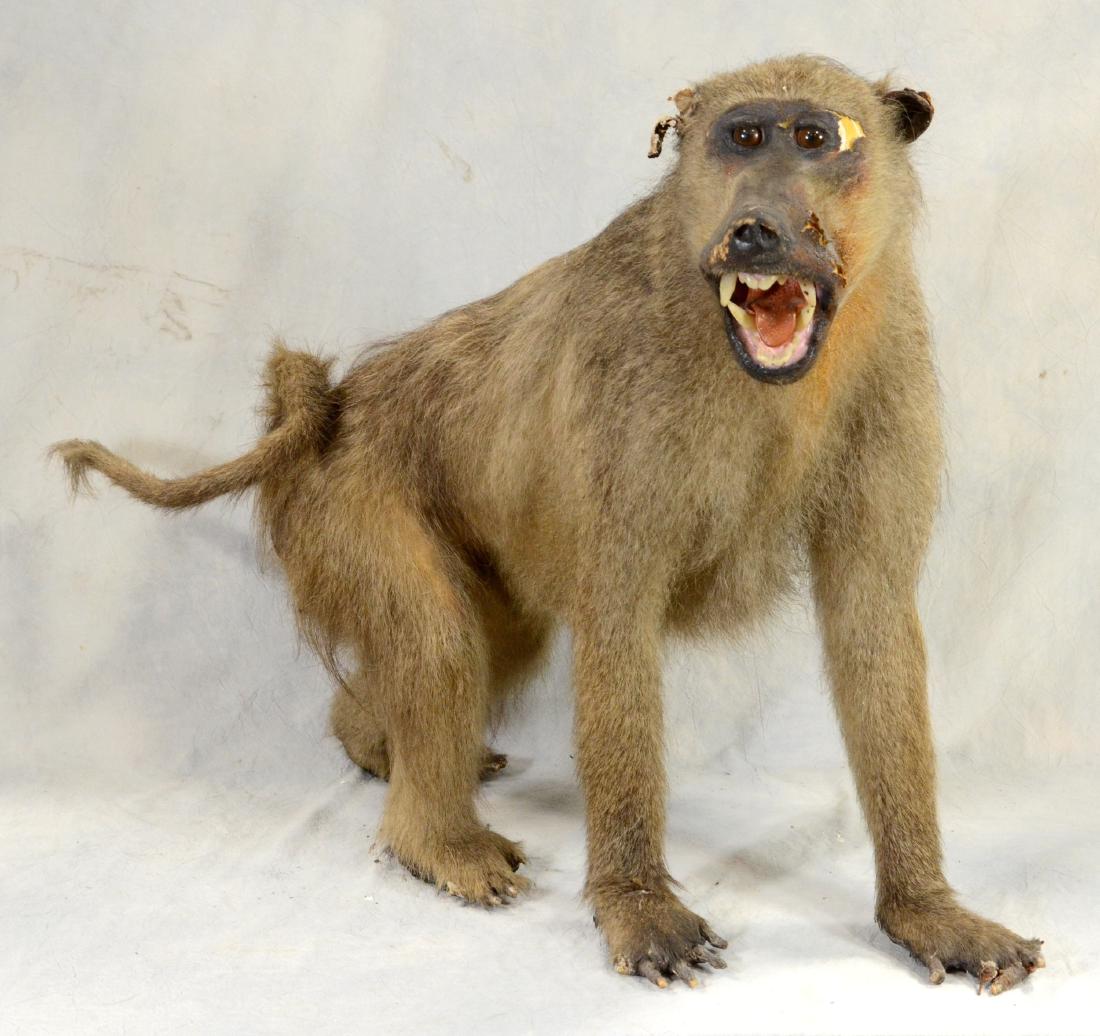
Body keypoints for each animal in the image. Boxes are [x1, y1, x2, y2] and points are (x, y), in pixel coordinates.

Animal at [52, 54, 1044, 993]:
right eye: (743, 137)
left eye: (813, 138)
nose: (756, 229)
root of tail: (330, 408)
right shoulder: (627, 391)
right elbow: (615, 622)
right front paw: (638, 905)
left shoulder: (891, 372)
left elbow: (870, 622)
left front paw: (925, 911)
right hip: (346, 505)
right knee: (440, 645)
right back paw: (433, 835)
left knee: (486, 649)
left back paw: (373, 740)